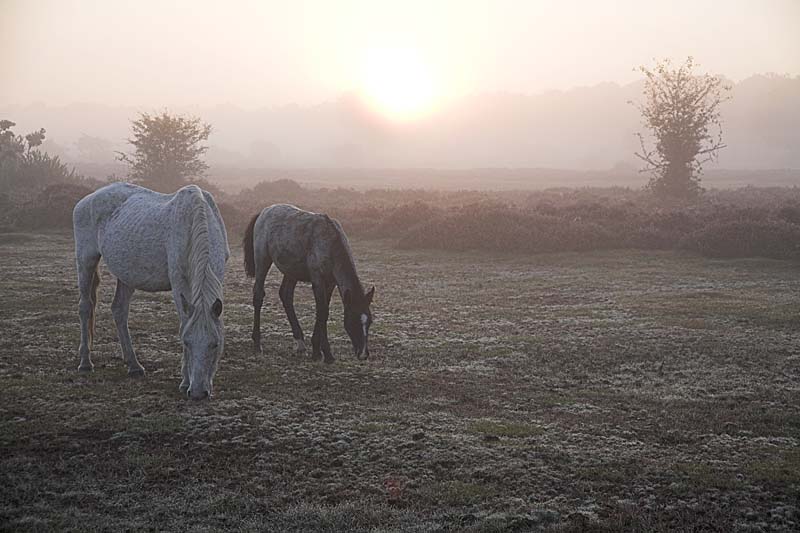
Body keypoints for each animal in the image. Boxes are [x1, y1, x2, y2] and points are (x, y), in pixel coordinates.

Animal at [72, 181, 230, 396]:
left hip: (127, 275)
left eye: (215, 344)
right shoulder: (179, 284)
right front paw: (185, 381)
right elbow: (183, 322)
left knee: (119, 310)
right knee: (85, 307)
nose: (198, 392)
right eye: (186, 342)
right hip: (86, 261)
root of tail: (86, 199)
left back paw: (134, 365)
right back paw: (85, 362)